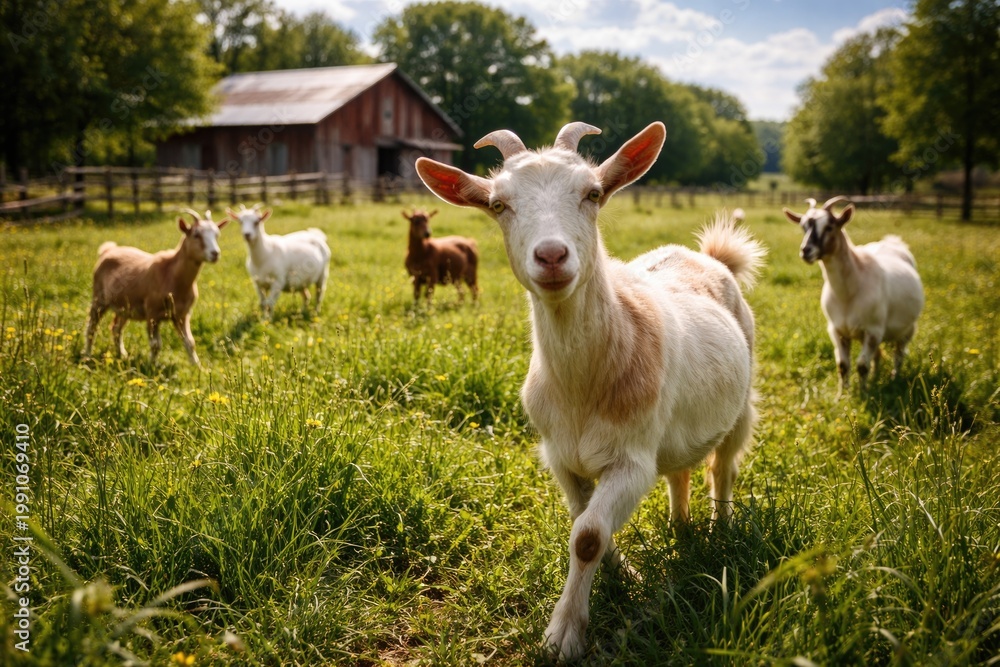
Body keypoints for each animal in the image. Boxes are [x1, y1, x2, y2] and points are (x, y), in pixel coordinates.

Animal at [83, 209, 227, 366]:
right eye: (196, 234)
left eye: (217, 234)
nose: (215, 254)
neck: (172, 274)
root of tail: (108, 250)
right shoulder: (152, 313)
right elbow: (156, 344)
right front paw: (151, 366)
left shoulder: (182, 314)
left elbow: (190, 342)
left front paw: (197, 366)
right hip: (99, 298)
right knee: (92, 326)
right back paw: (87, 355)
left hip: (125, 307)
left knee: (116, 328)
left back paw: (122, 354)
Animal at [416, 121, 765, 660]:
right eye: (498, 204)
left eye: (593, 193)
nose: (552, 255)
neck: (583, 387)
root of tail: (705, 257)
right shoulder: (560, 457)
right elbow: (583, 524)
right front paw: (625, 579)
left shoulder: (632, 460)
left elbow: (588, 535)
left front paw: (563, 635)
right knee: (681, 468)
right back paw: (680, 527)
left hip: (741, 406)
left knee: (722, 467)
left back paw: (718, 531)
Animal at [784, 196, 924, 392]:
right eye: (803, 227)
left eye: (829, 226)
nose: (806, 250)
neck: (848, 293)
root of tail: (893, 242)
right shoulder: (837, 330)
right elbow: (843, 365)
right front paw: (843, 394)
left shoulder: (873, 330)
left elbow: (862, 365)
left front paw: (863, 393)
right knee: (878, 355)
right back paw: (875, 377)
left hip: (908, 329)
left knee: (899, 354)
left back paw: (895, 378)